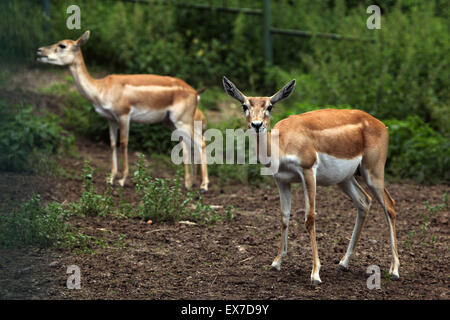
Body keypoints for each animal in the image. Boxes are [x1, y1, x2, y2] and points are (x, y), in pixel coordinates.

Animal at [36, 30, 209, 190]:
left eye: (62, 45)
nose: (39, 51)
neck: (100, 89)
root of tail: (196, 93)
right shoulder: (110, 118)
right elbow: (112, 143)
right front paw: (110, 178)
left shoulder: (124, 115)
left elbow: (124, 143)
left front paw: (122, 180)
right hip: (171, 123)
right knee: (189, 146)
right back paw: (189, 184)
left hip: (182, 121)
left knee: (200, 142)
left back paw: (203, 185)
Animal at [223, 75, 400, 284]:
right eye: (244, 105)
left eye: (270, 106)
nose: (257, 125)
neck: (281, 144)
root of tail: (381, 124)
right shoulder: (281, 181)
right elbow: (284, 217)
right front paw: (276, 262)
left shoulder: (308, 172)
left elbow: (310, 219)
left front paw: (315, 273)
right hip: (345, 179)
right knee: (364, 202)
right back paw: (343, 263)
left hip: (373, 173)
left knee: (390, 206)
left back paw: (394, 270)